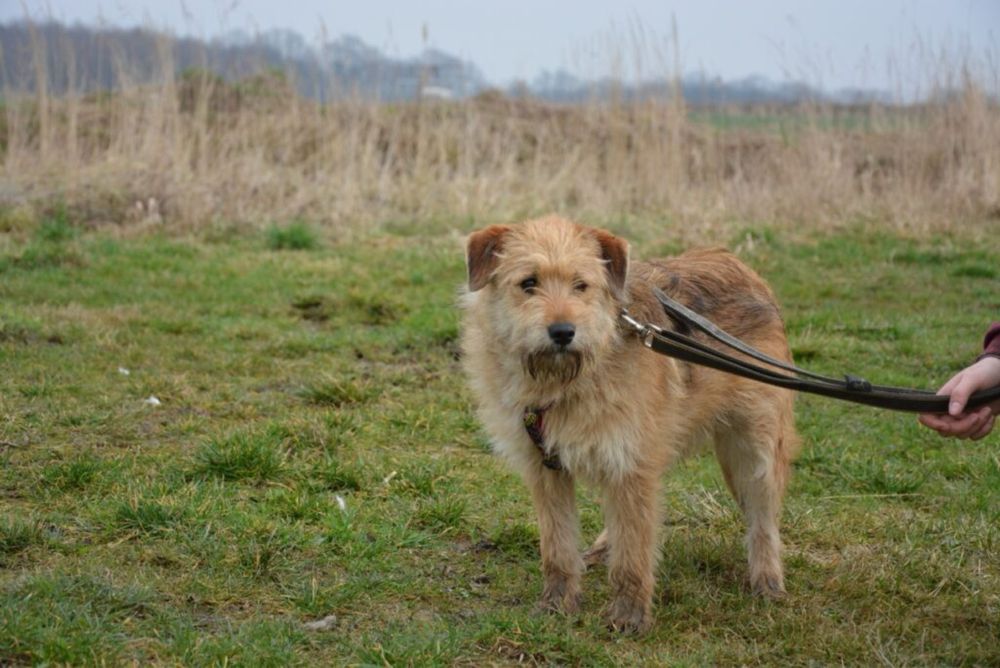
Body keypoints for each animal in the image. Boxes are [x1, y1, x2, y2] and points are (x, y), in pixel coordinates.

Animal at [460, 214, 796, 632]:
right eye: (528, 283)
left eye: (581, 285)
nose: (563, 332)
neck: (566, 380)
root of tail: (737, 263)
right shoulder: (547, 470)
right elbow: (557, 546)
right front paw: (557, 602)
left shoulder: (631, 464)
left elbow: (633, 553)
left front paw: (628, 615)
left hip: (753, 452)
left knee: (762, 520)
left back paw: (767, 580)